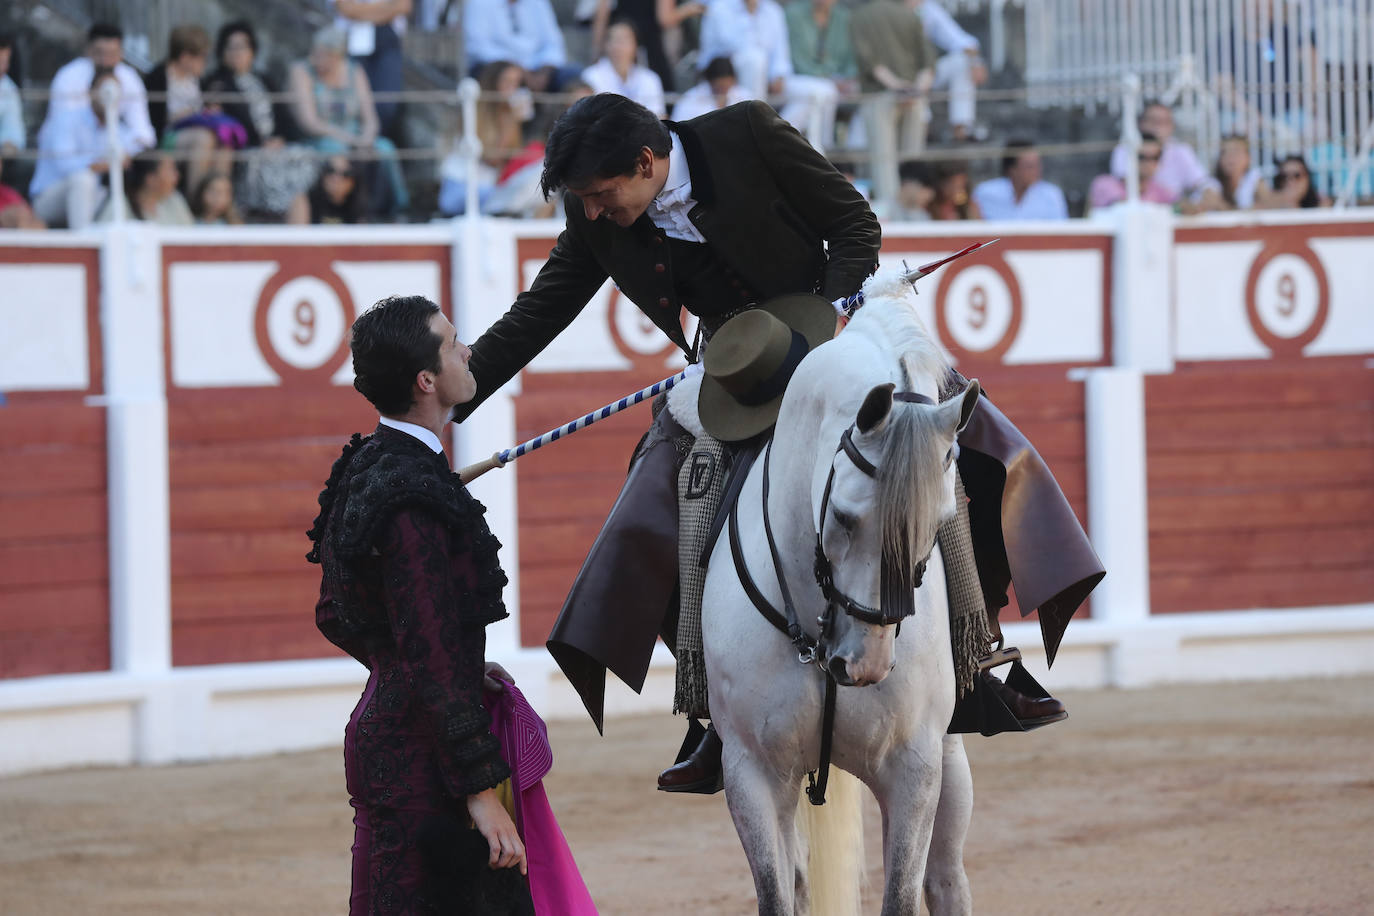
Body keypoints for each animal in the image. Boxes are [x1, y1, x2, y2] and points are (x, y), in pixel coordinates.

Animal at [703, 266, 983, 916]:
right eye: (846, 518)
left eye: (937, 525)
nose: (866, 665)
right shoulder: (751, 771)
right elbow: (776, 895)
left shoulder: (914, 766)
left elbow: (902, 895)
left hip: (950, 762)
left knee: (946, 875)